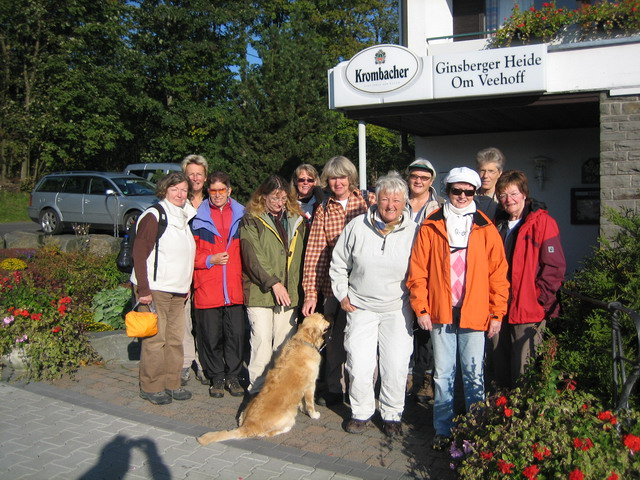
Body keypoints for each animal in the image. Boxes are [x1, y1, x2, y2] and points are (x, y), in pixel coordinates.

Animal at [198, 314, 330, 444]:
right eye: (322, 318)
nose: (329, 319)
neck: (304, 340)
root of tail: (247, 426)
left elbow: (303, 401)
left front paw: (302, 408)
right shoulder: (311, 385)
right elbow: (310, 403)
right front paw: (314, 414)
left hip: (244, 410)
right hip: (288, 416)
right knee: (269, 433)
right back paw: (286, 428)